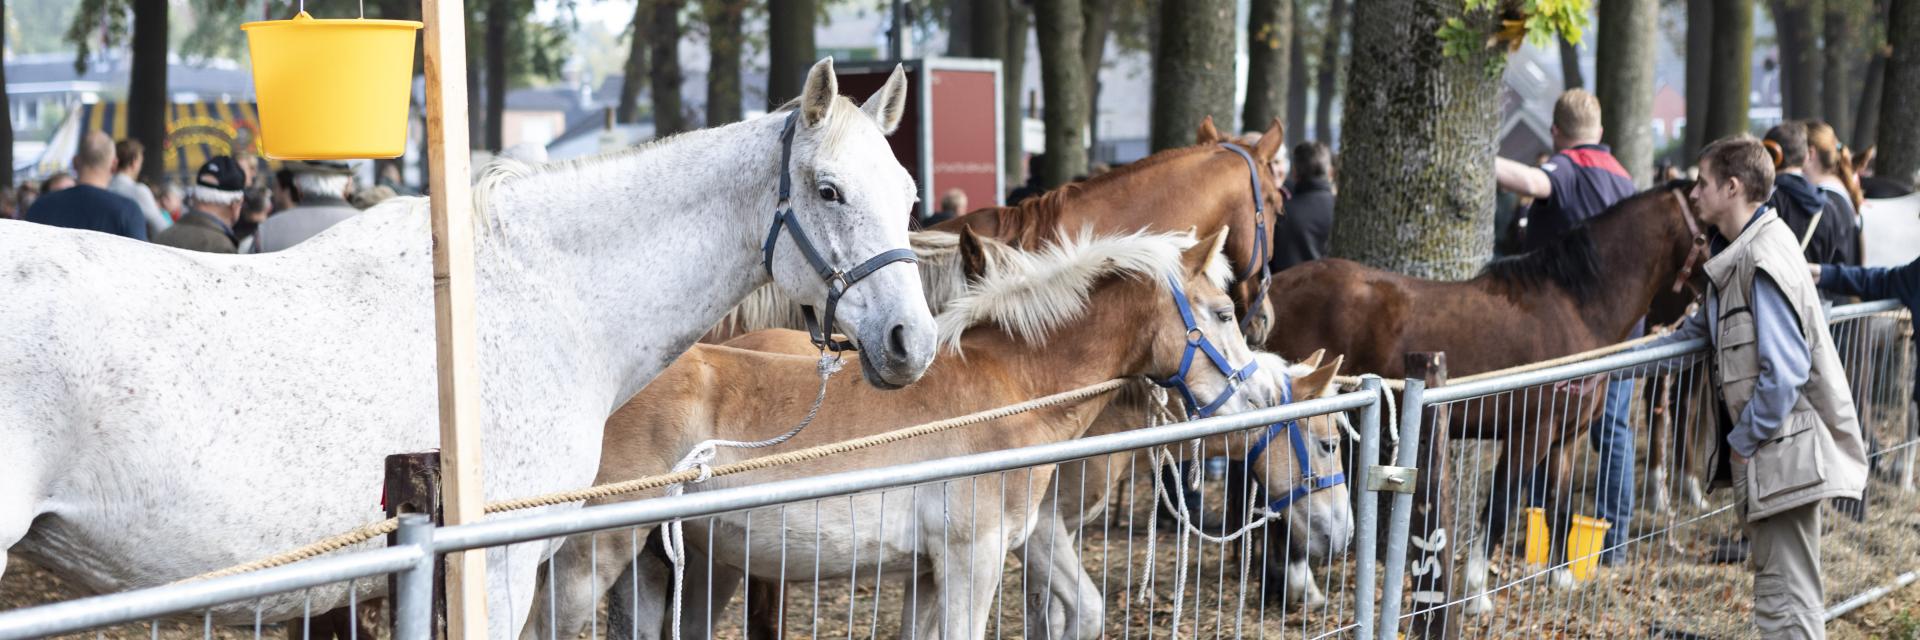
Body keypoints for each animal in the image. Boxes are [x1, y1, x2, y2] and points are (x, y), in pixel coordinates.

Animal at [525, 225, 1340, 640]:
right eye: (1223, 313)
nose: (1259, 394)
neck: (1009, 393)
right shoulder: (972, 561)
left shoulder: (927, 570)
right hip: (590, 559)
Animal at [1257, 184, 1710, 614]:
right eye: (1711, 226)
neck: (1576, 311)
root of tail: (1274, 292)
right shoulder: (1530, 432)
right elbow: (1500, 508)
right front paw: (1476, 594)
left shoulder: (1566, 438)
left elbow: (1559, 504)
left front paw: (1561, 577)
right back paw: (1303, 587)